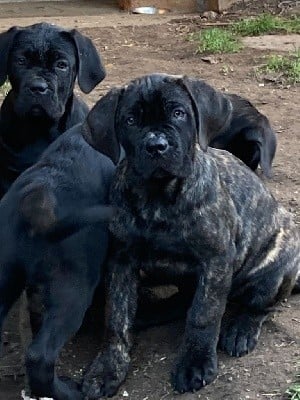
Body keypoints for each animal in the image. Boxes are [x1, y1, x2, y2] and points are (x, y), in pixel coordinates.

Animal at [81, 74, 298, 396]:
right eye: (130, 120)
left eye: (179, 113)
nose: (156, 146)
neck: (159, 198)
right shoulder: (121, 261)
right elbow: (117, 318)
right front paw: (108, 367)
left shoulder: (215, 260)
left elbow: (204, 314)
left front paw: (195, 363)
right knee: (181, 301)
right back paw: (149, 313)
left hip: (276, 262)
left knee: (261, 305)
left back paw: (241, 330)